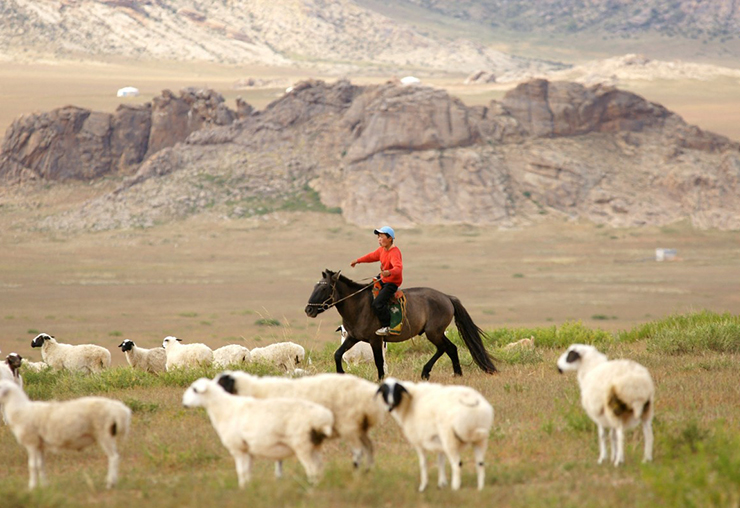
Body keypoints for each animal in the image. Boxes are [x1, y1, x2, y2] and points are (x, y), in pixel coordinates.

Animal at [0, 380, 131, 490]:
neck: (20, 410)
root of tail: (120, 410)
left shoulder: (31, 442)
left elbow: (32, 466)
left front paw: (31, 487)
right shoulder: (39, 445)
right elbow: (41, 465)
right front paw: (44, 486)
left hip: (104, 433)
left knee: (113, 457)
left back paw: (110, 484)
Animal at [184, 378, 334, 488]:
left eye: (195, 389)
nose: (184, 403)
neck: (224, 408)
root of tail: (323, 418)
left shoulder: (238, 448)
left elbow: (242, 472)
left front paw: (242, 490)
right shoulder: (247, 449)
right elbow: (248, 472)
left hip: (302, 445)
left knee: (312, 469)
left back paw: (311, 488)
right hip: (314, 446)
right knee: (319, 468)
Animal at [217, 372, 384, 470]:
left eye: (221, 383)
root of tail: (368, 393)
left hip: (349, 424)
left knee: (358, 451)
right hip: (359, 426)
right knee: (369, 448)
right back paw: (368, 471)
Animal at [306, 270, 498, 380]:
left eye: (324, 288)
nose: (308, 310)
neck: (359, 305)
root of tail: (447, 297)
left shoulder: (375, 340)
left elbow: (379, 361)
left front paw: (381, 380)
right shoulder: (353, 337)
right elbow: (337, 354)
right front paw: (340, 374)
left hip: (433, 332)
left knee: (447, 348)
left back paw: (435, 372)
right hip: (435, 333)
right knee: (449, 348)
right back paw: (450, 373)